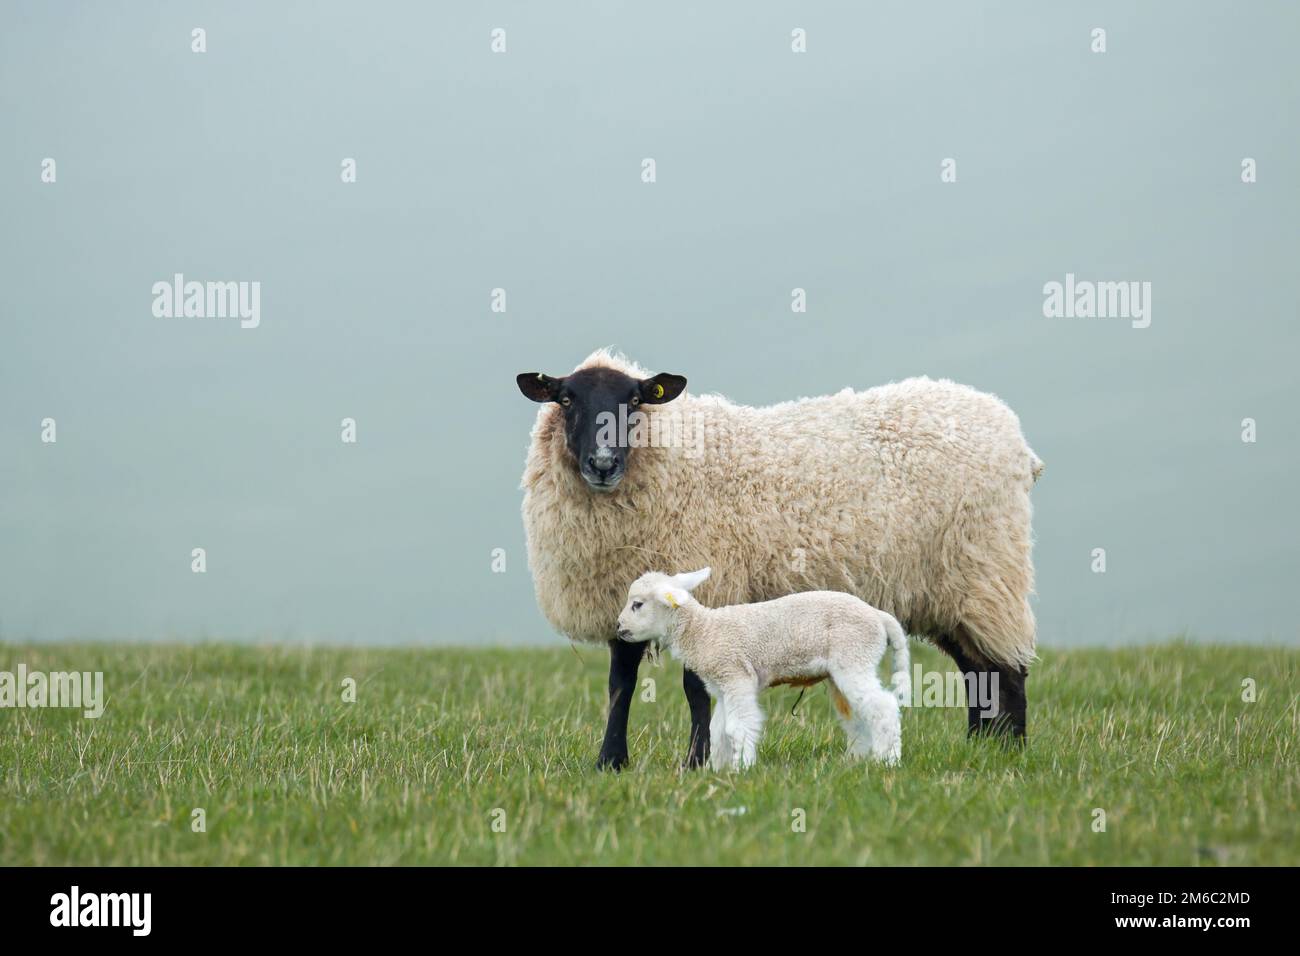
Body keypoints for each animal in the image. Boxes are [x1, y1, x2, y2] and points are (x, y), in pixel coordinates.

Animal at [613, 567, 909, 770]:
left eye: (637, 604)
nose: (618, 626)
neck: (704, 631)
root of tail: (879, 616)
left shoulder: (736, 676)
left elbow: (738, 726)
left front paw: (742, 768)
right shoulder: (722, 687)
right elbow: (717, 729)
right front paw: (717, 770)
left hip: (855, 657)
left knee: (883, 707)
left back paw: (888, 761)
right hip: (844, 669)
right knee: (856, 716)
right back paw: (856, 761)